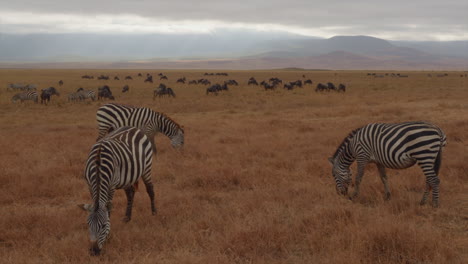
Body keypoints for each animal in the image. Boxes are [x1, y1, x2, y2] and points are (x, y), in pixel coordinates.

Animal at [78, 126, 155, 256]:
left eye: (104, 225)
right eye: (88, 224)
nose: (94, 251)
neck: (98, 166)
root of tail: (133, 127)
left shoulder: (111, 186)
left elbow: (109, 209)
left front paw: (108, 236)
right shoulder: (89, 185)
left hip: (146, 168)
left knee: (150, 189)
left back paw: (154, 213)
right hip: (127, 178)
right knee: (130, 193)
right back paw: (127, 217)